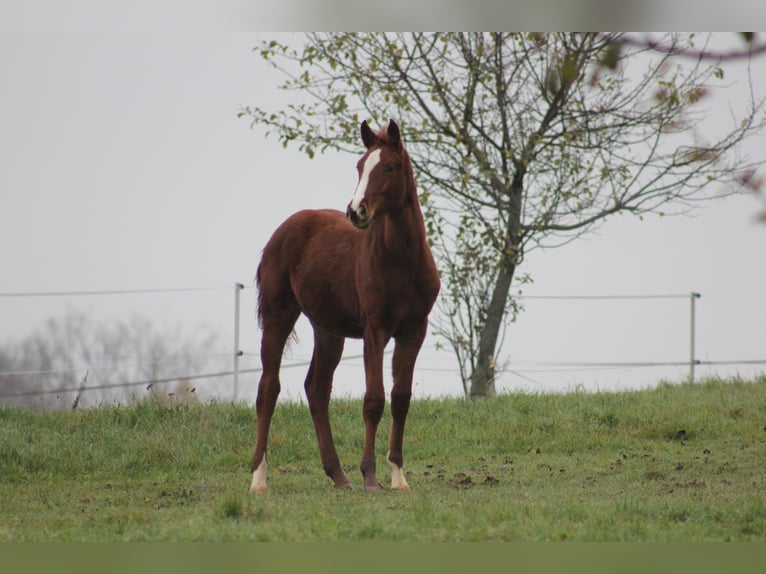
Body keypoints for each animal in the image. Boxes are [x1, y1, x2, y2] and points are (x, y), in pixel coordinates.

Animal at [249, 119, 440, 492]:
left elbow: (400, 398)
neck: (403, 261)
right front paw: (370, 476)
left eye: (390, 166)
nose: (356, 211)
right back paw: (258, 479)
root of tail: (283, 230)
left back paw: (338, 475)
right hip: (279, 315)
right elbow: (374, 399)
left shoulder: (414, 330)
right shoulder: (375, 330)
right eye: (360, 166)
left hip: (327, 330)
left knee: (317, 388)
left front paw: (398, 476)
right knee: (268, 389)